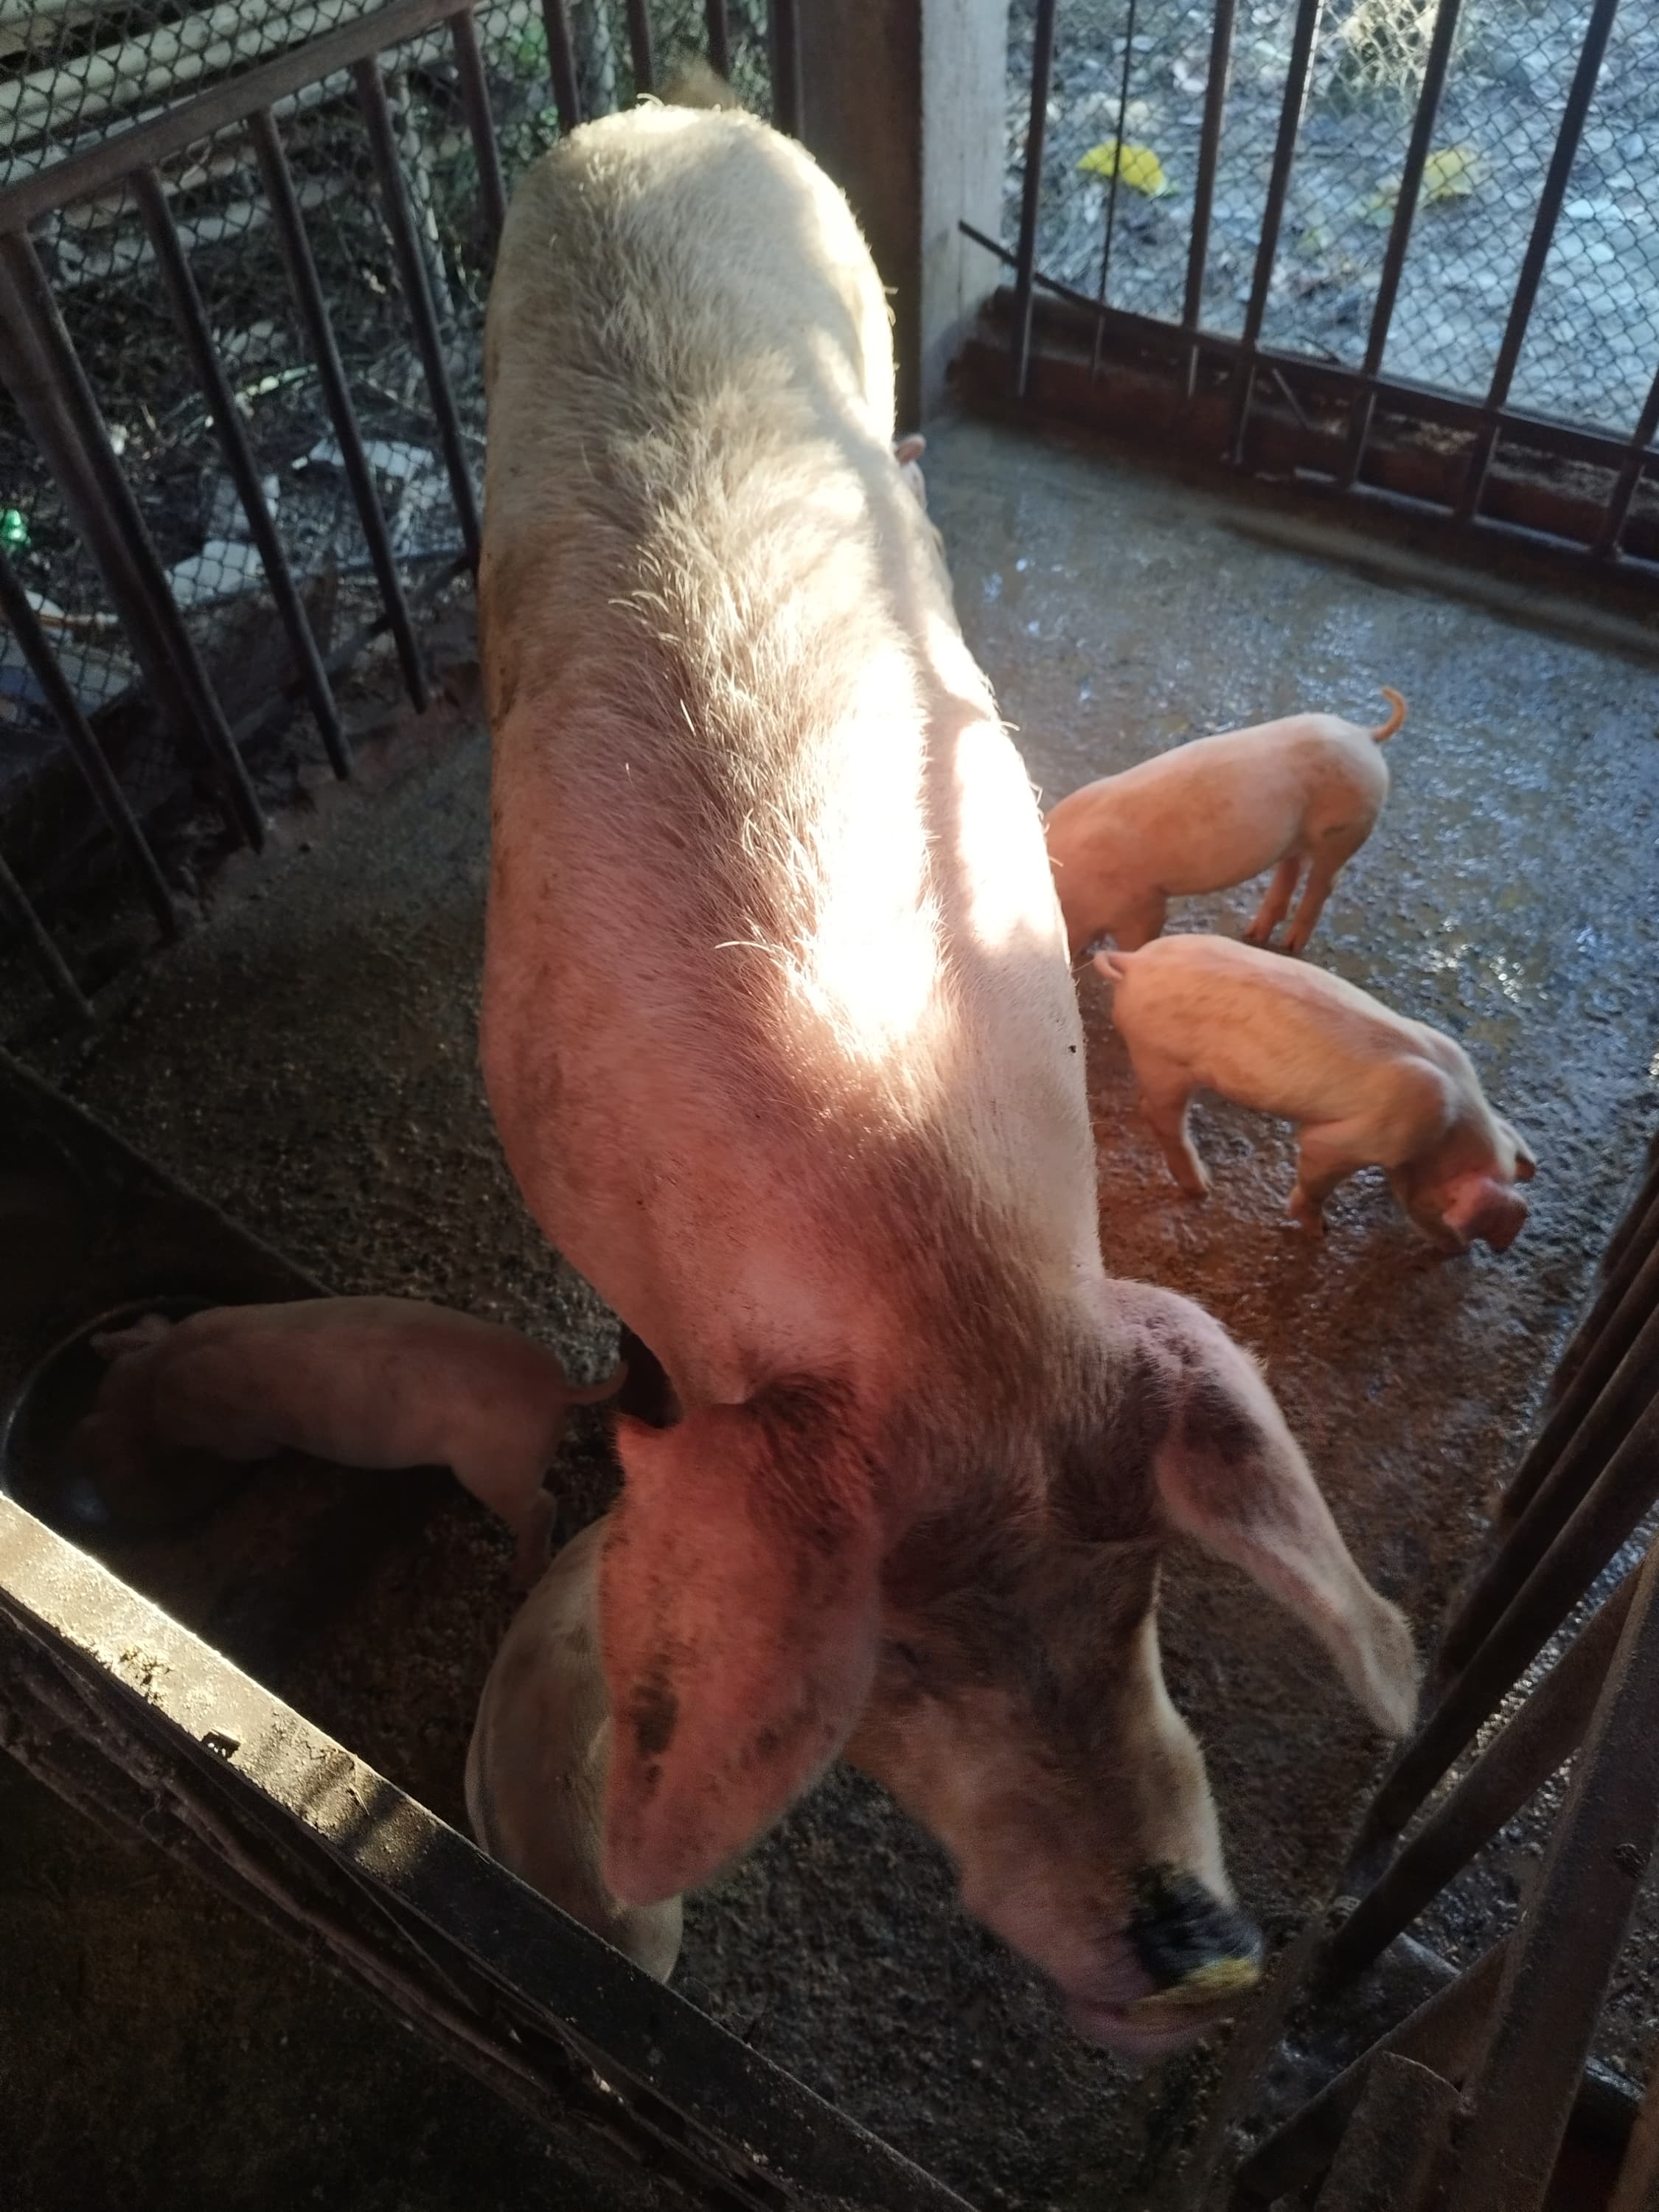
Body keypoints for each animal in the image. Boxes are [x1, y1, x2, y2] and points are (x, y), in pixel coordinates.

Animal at [77, 1298, 623, 1583]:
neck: (157, 1380)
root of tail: (556, 1387)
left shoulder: (242, 1439)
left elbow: (256, 1452)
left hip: (492, 1466)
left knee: (541, 1506)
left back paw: (523, 1577)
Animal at [1045, 687, 1407, 957]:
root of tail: (1365, 736)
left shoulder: (1142, 903)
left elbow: (1139, 941)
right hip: (1296, 838)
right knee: (1291, 869)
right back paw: (1253, 935)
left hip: (1347, 830)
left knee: (1324, 883)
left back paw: (1290, 946)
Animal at [1096, 933, 1536, 1252]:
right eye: (1449, 1209)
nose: (1457, 1252)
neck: (1449, 1127)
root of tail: (1134, 963)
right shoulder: (1347, 1140)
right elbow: (1317, 1168)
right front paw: (1322, 1232)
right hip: (1161, 1061)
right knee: (1161, 1116)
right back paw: (1202, 1188)